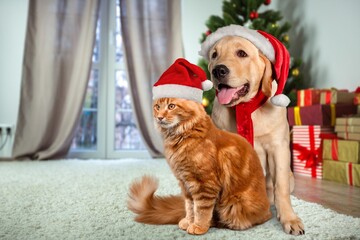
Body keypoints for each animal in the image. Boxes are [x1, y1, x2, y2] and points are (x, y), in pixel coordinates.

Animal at [128, 97, 272, 234]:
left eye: (171, 106)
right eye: (157, 107)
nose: (159, 117)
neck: (181, 136)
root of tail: (268, 210)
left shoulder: (204, 184)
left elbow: (201, 209)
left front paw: (198, 226)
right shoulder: (185, 183)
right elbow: (190, 207)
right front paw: (189, 222)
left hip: (234, 205)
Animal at [200, 25, 304, 234]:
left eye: (242, 53)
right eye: (214, 54)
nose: (218, 70)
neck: (245, 108)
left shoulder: (278, 148)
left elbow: (280, 187)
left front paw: (289, 219)